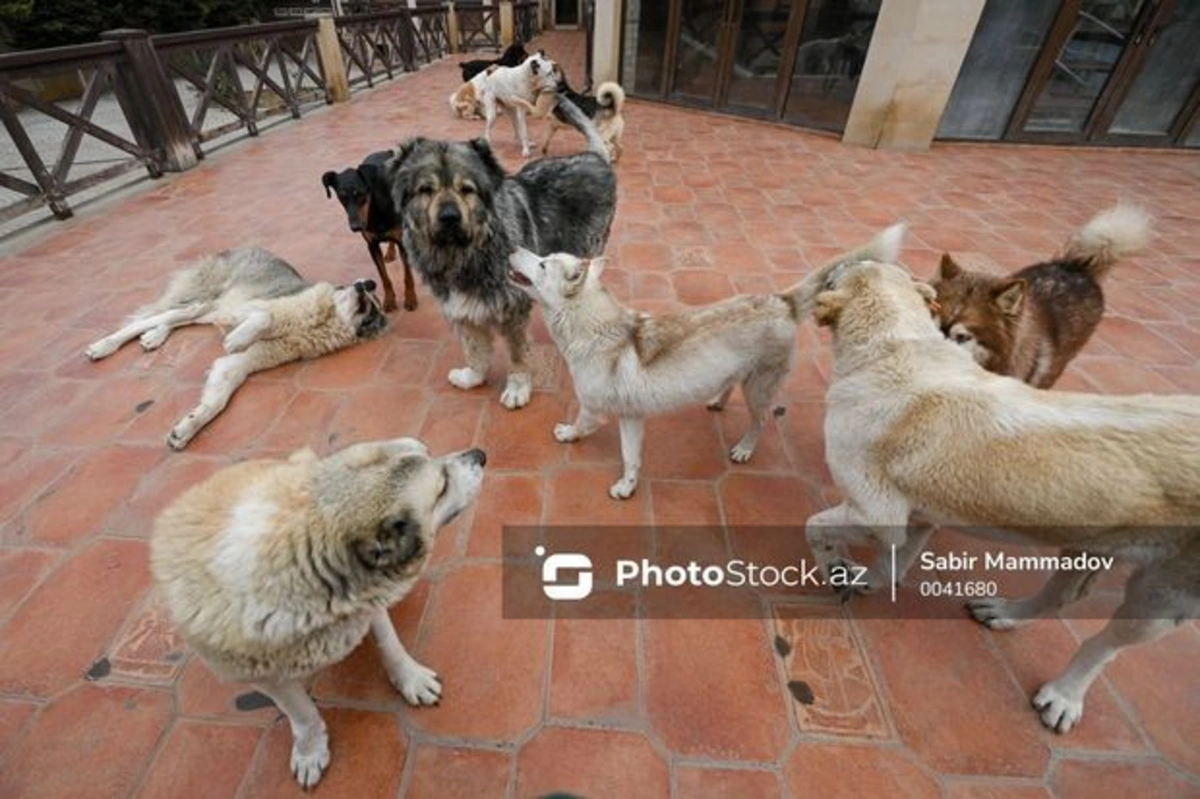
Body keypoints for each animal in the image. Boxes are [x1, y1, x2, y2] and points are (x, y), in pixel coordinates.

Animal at [501, 224, 902, 499]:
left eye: (542, 263)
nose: (513, 246)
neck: (594, 329)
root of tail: (780, 301)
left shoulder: (595, 408)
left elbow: (581, 424)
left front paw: (568, 435)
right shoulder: (631, 418)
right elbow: (631, 458)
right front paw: (628, 486)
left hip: (758, 390)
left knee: (761, 421)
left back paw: (744, 449)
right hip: (740, 374)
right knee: (728, 386)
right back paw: (716, 401)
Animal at [796, 247, 1200, 734]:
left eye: (839, 274)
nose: (841, 259)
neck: (896, 347)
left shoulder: (877, 513)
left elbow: (816, 527)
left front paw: (836, 568)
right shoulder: (920, 515)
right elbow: (894, 560)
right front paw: (869, 582)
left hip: (1165, 597)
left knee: (1104, 646)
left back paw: (1065, 695)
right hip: (1090, 542)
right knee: (1063, 596)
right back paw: (1008, 614)